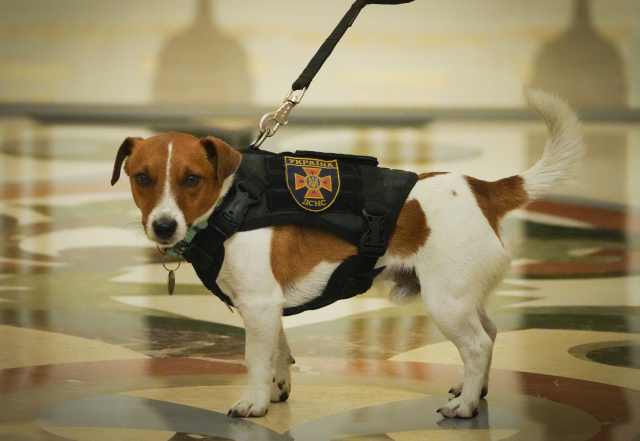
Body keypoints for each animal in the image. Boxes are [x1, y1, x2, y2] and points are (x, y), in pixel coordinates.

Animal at [111, 87, 584, 418]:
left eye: (191, 179)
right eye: (141, 178)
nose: (163, 226)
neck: (230, 202)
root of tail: (482, 188)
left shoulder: (259, 305)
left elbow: (254, 358)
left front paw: (254, 402)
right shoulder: (270, 308)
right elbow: (278, 351)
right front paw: (278, 389)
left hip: (446, 303)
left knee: (478, 345)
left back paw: (465, 406)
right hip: (463, 296)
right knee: (490, 332)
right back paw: (474, 389)